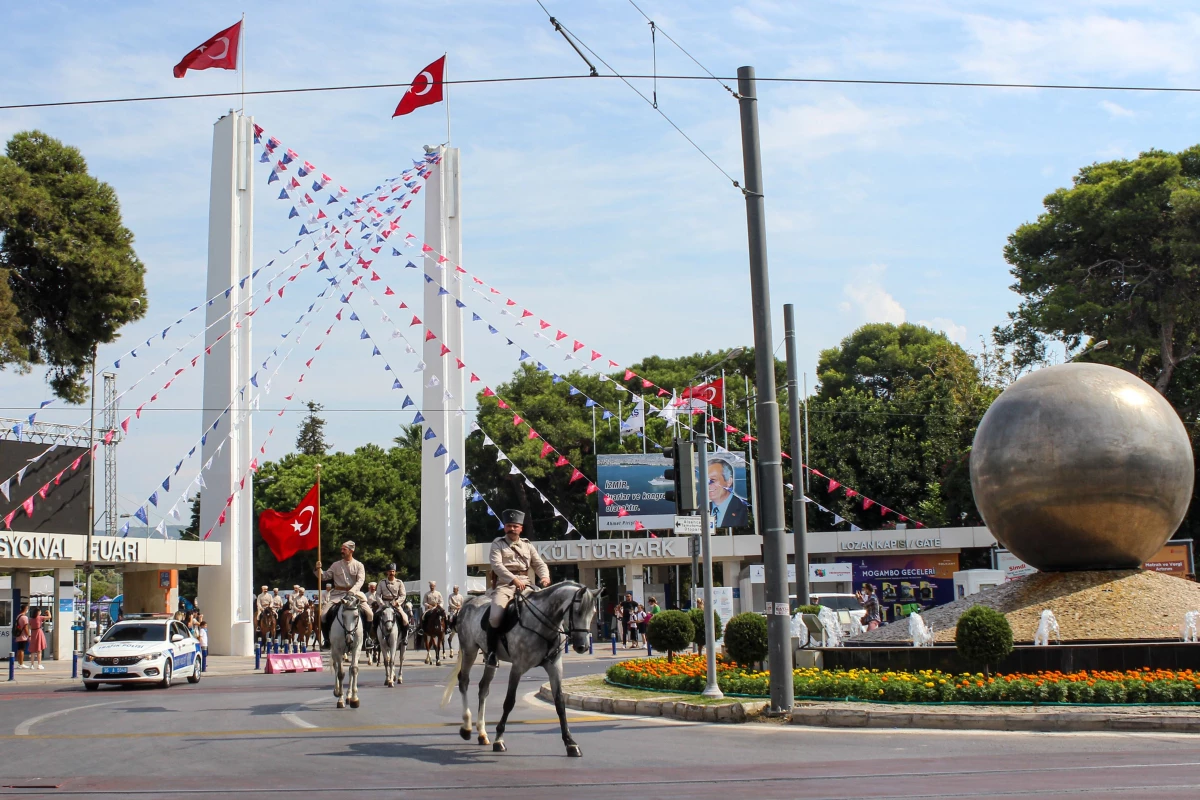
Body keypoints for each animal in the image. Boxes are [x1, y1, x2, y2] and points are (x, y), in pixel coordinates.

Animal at [441, 582, 600, 758]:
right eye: (578, 611)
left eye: (593, 612)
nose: (582, 646)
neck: (542, 623)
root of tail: (468, 603)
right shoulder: (517, 668)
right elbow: (509, 702)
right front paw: (499, 739)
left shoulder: (555, 667)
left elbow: (559, 703)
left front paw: (570, 743)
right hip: (469, 650)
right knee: (463, 682)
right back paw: (467, 728)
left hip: (490, 658)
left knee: (483, 689)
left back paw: (482, 733)